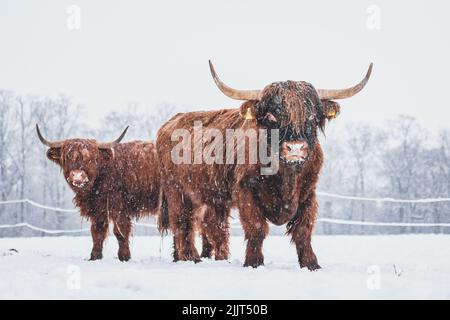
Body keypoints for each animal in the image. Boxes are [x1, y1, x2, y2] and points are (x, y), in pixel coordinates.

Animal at [37, 124, 160, 262]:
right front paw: (95, 256)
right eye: (67, 157)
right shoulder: (98, 208)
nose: (78, 177)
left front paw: (124, 257)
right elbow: (97, 232)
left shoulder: (119, 207)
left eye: (90, 159)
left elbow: (120, 231)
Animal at [158, 60, 372, 270]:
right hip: (177, 192)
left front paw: (311, 264)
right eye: (271, 116)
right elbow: (257, 227)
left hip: (211, 198)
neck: (285, 175)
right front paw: (254, 262)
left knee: (212, 227)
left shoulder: (308, 192)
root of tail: (170, 122)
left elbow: (303, 230)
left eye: (311, 117)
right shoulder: (246, 190)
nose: (295, 148)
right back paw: (191, 258)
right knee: (183, 224)